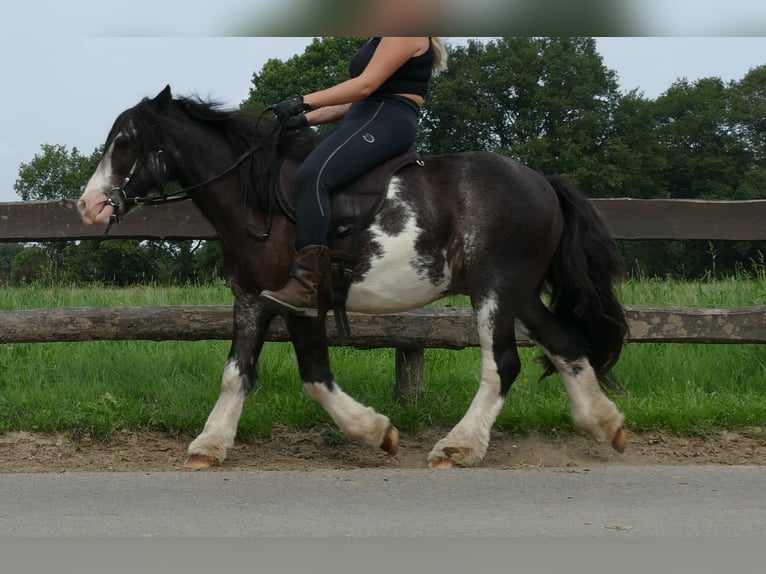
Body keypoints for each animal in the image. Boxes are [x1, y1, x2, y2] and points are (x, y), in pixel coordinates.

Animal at [78, 86, 632, 472]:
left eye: (125, 142)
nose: (88, 206)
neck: (257, 198)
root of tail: (544, 183)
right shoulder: (252, 298)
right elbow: (238, 373)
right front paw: (209, 445)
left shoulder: (300, 302)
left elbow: (315, 377)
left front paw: (376, 432)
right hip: (520, 293)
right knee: (566, 343)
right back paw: (605, 425)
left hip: (496, 291)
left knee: (503, 365)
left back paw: (459, 446)